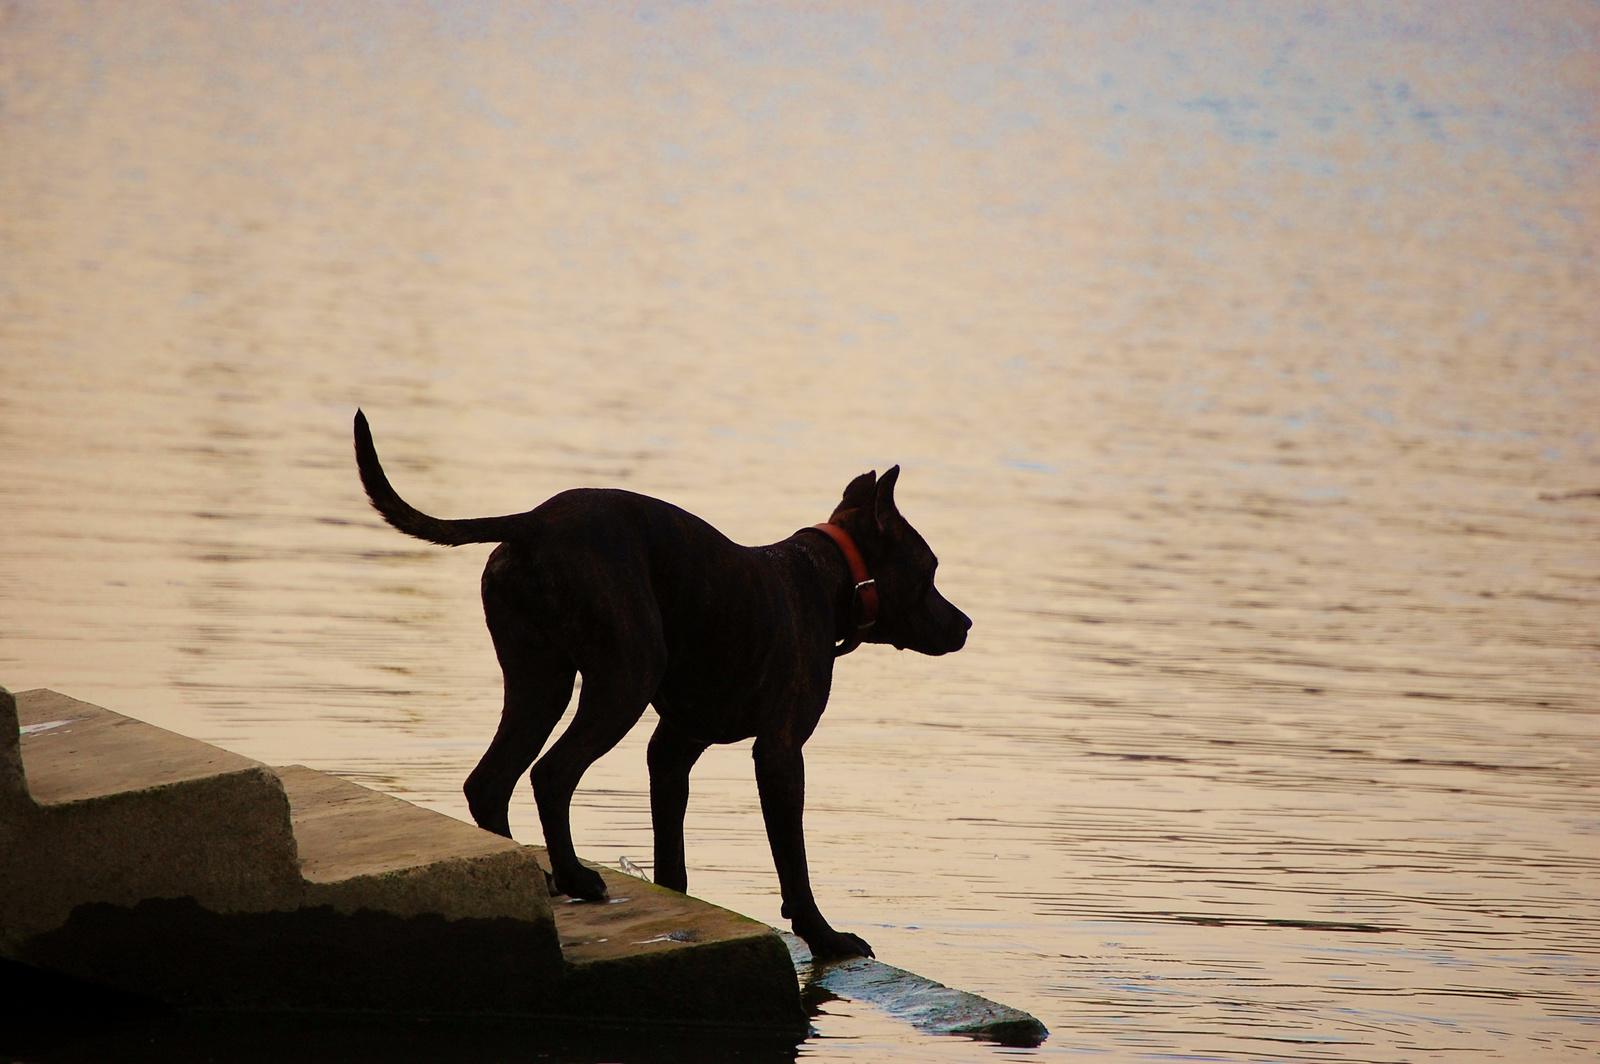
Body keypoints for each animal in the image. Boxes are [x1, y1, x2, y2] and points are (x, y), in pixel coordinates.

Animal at [355, 409, 966, 960]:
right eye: (931, 571)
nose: (965, 624)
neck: (832, 576)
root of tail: (533, 521)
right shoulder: (780, 752)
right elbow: (793, 863)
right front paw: (826, 938)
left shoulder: (674, 747)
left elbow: (672, 855)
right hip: (623, 679)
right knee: (552, 773)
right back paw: (576, 878)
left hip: (539, 681)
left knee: (490, 780)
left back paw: (543, 877)